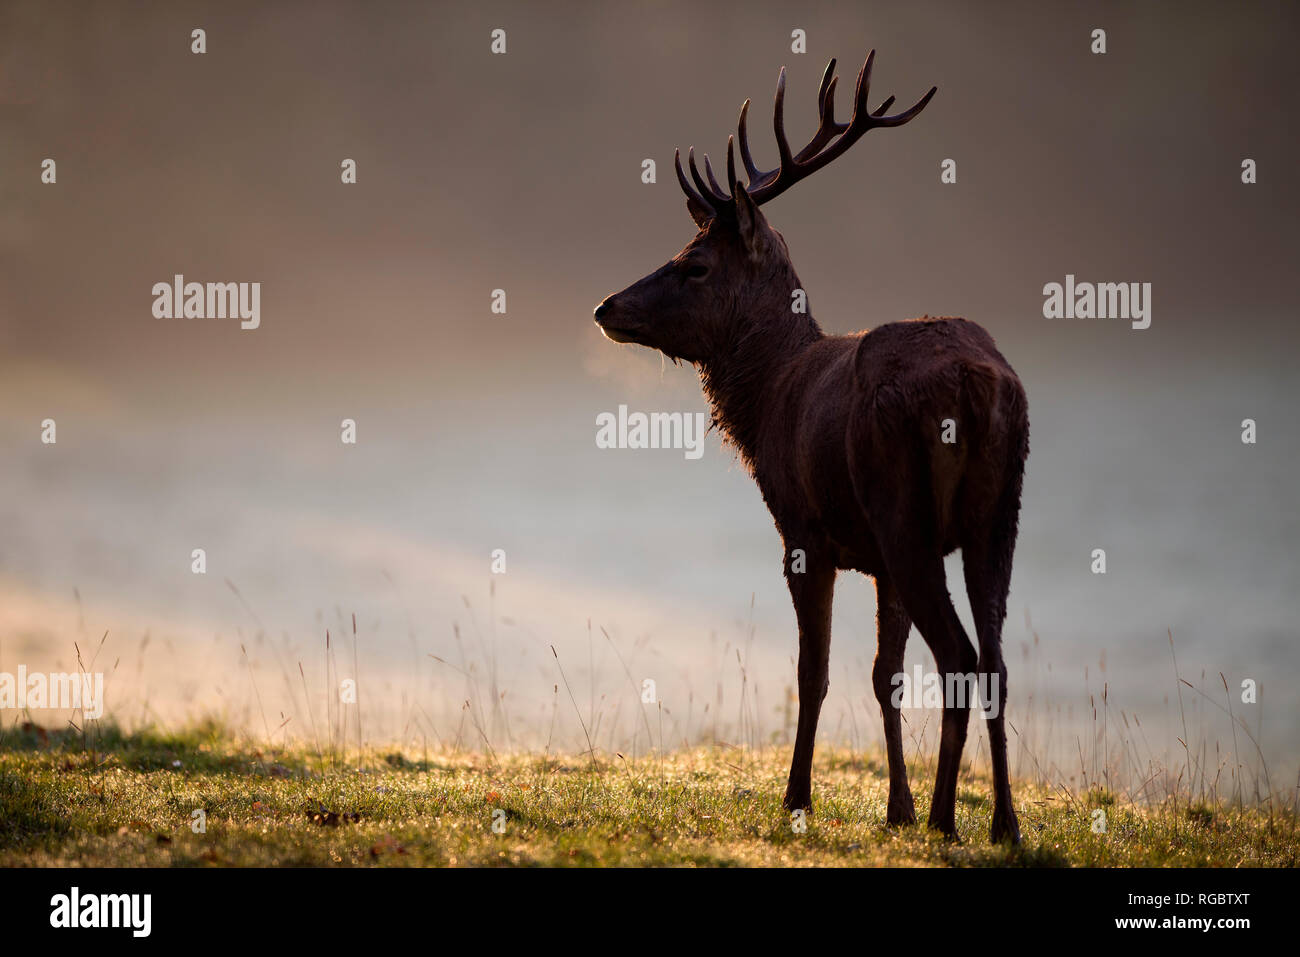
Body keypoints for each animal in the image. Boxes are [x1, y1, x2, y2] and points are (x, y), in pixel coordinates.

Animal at [595, 52, 1029, 842]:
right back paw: (1003, 825)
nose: (607, 306)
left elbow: (814, 670)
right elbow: (885, 674)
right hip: (1000, 513)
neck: (770, 397)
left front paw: (798, 796)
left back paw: (948, 819)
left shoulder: (804, 528)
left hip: (906, 509)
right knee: (995, 660)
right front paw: (895, 808)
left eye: (695, 264)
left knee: (957, 652)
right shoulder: (879, 561)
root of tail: (978, 384)